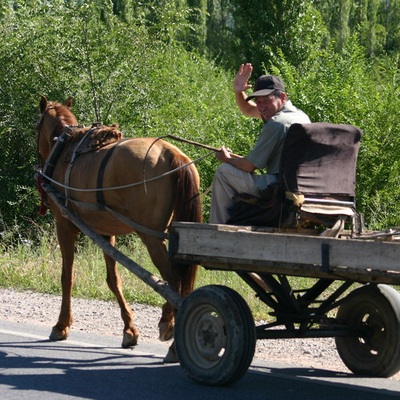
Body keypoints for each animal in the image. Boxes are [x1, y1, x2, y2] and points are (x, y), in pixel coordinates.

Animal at [35, 96, 202, 360]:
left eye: (36, 127)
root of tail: (172, 153)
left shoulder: (64, 225)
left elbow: (67, 276)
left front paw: (61, 326)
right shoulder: (105, 231)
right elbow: (114, 279)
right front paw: (129, 330)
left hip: (151, 236)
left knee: (174, 280)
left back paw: (172, 334)